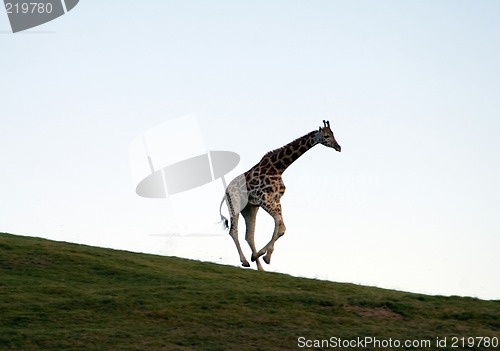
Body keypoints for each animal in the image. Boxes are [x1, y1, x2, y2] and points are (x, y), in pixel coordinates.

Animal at [218, 119, 340, 270]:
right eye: (326, 136)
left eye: (333, 134)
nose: (339, 147)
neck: (279, 167)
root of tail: (225, 192)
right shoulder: (263, 198)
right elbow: (278, 222)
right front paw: (266, 256)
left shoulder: (275, 200)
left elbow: (282, 228)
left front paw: (263, 256)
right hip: (235, 205)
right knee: (233, 231)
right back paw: (245, 261)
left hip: (250, 209)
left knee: (249, 236)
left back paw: (259, 266)